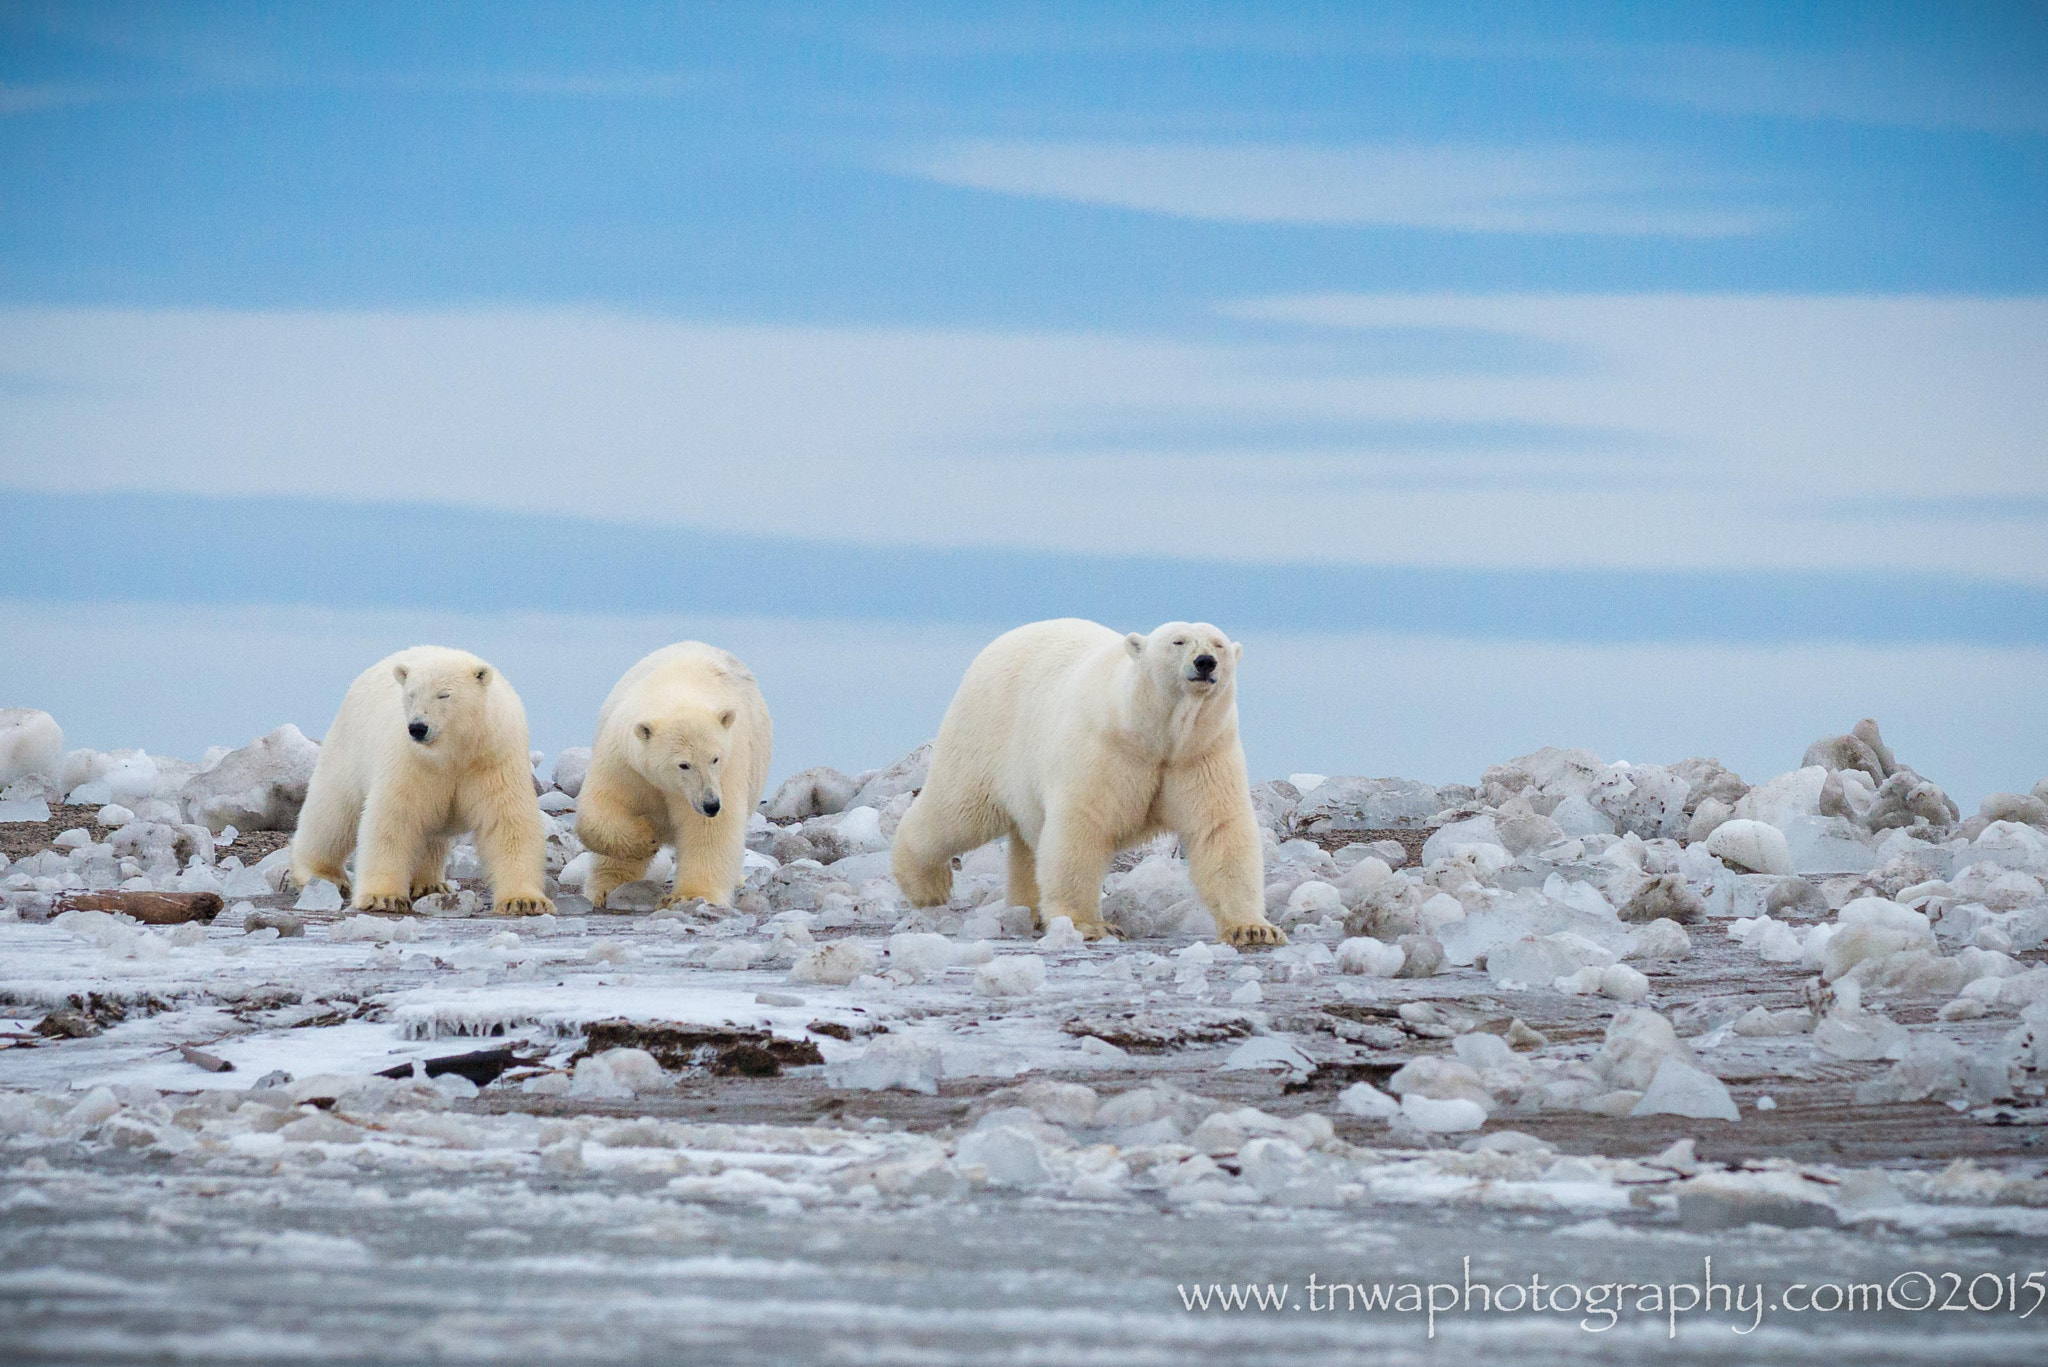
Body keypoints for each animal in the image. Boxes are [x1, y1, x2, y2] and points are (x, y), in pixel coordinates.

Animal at [289, 646, 552, 915]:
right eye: (411, 695)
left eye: (444, 695)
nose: (417, 727)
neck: (455, 751)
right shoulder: (412, 761)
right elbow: (395, 817)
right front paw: (384, 897)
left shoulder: (493, 758)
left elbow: (507, 821)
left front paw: (524, 901)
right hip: (349, 748)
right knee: (332, 814)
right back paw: (321, 874)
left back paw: (428, 884)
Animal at [576, 642, 773, 909]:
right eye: (683, 765)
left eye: (715, 758)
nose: (711, 804)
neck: (678, 689)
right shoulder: (626, 759)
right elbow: (601, 807)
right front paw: (647, 838)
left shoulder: (728, 765)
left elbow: (709, 830)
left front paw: (689, 895)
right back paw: (605, 888)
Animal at [891, 618, 1284, 947]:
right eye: (1178, 641)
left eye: (1218, 644)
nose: (1205, 662)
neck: (1157, 735)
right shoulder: (1109, 750)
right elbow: (1083, 826)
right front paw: (1090, 925)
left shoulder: (1201, 754)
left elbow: (1219, 829)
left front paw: (1253, 929)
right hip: (986, 731)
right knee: (957, 809)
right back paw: (929, 886)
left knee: (1025, 841)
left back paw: (1027, 910)